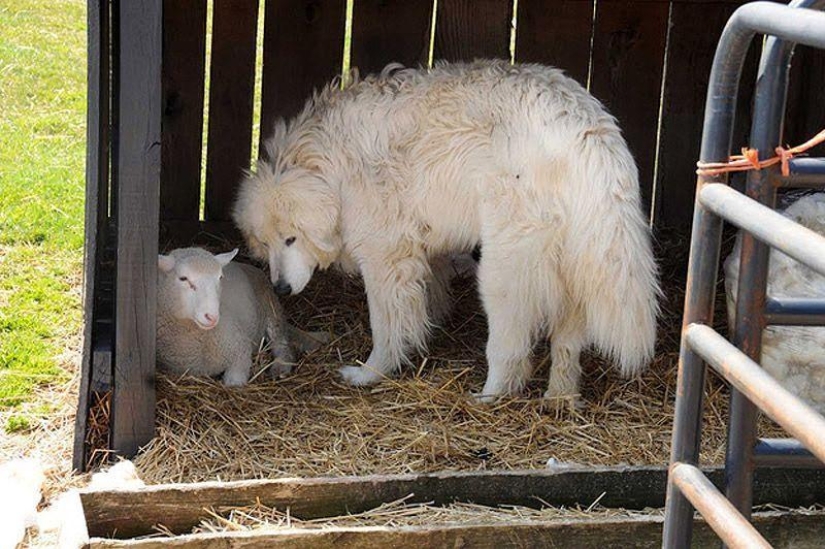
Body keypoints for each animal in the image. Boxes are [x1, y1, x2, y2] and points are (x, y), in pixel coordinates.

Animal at [157, 247, 328, 386]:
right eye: (183, 279)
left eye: (220, 277)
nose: (212, 316)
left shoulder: (240, 350)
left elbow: (233, 384)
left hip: (271, 308)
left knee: (282, 343)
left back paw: (280, 368)